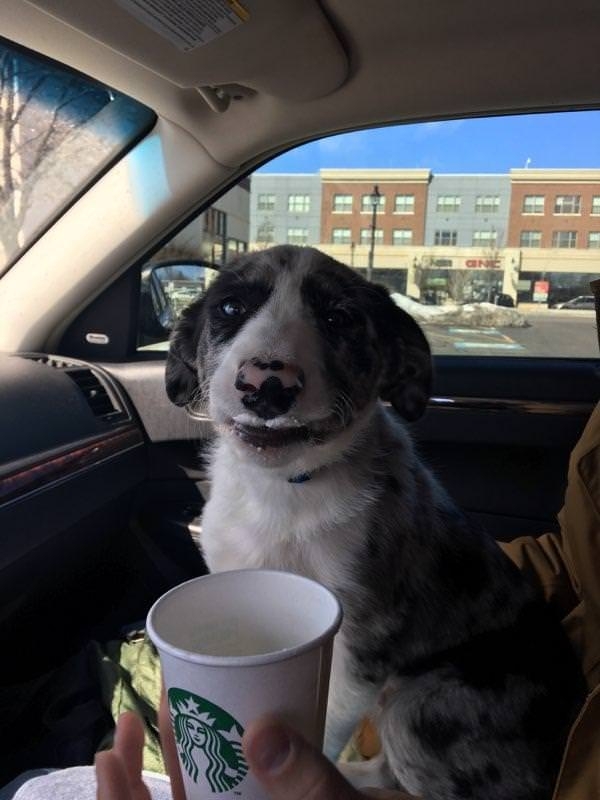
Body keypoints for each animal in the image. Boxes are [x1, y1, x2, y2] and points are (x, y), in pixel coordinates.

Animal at [163, 245, 580, 800]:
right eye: (230, 308)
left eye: (340, 319)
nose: (265, 386)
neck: (284, 490)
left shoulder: (362, 644)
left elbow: (326, 726)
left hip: (421, 706)